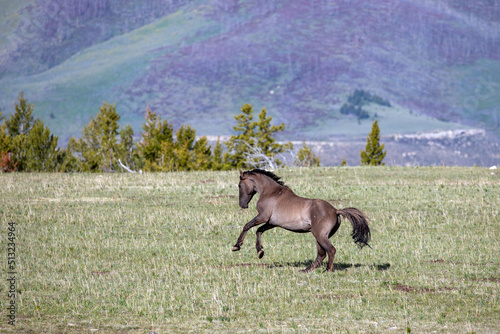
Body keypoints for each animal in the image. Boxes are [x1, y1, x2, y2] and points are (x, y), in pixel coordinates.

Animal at [232, 168, 370, 272]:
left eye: (239, 185)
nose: (242, 205)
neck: (271, 192)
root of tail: (335, 211)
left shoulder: (262, 217)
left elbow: (247, 226)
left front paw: (237, 246)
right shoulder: (272, 223)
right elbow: (259, 231)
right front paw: (260, 252)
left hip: (320, 235)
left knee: (330, 250)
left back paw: (327, 270)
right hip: (319, 237)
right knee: (321, 254)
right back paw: (306, 270)